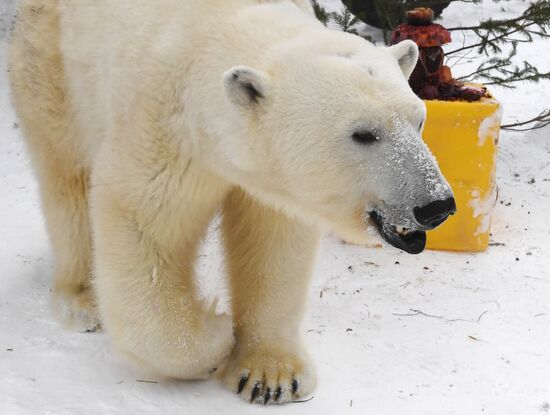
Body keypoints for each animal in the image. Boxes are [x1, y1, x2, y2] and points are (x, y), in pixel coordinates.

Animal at [8, 0, 458, 406]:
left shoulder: (267, 179)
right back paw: (83, 299)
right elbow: (142, 231)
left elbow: (273, 246)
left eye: (419, 119)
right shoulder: (162, 135)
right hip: (52, 63)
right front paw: (215, 333)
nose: (435, 205)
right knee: (65, 174)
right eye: (363, 133)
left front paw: (271, 376)